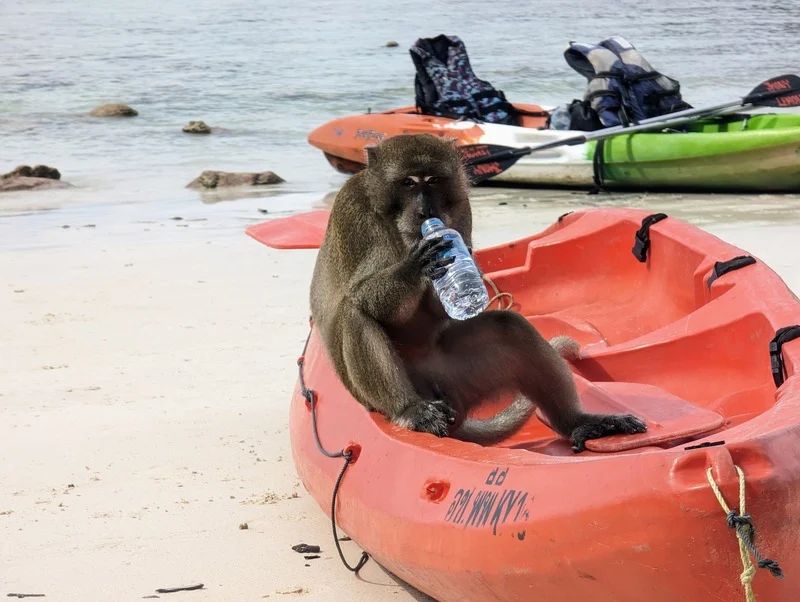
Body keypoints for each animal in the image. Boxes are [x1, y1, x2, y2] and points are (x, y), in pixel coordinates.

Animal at [310, 134, 648, 448]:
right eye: (407, 183)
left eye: (433, 181)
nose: (425, 211)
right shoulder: (353, 214)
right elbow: (360, 295)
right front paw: (417, 264)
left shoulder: (461, 209)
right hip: (386, 397)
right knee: (355, 314)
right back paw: (411, 410)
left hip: (456, 381)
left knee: (509, 328)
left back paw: (577, 422)